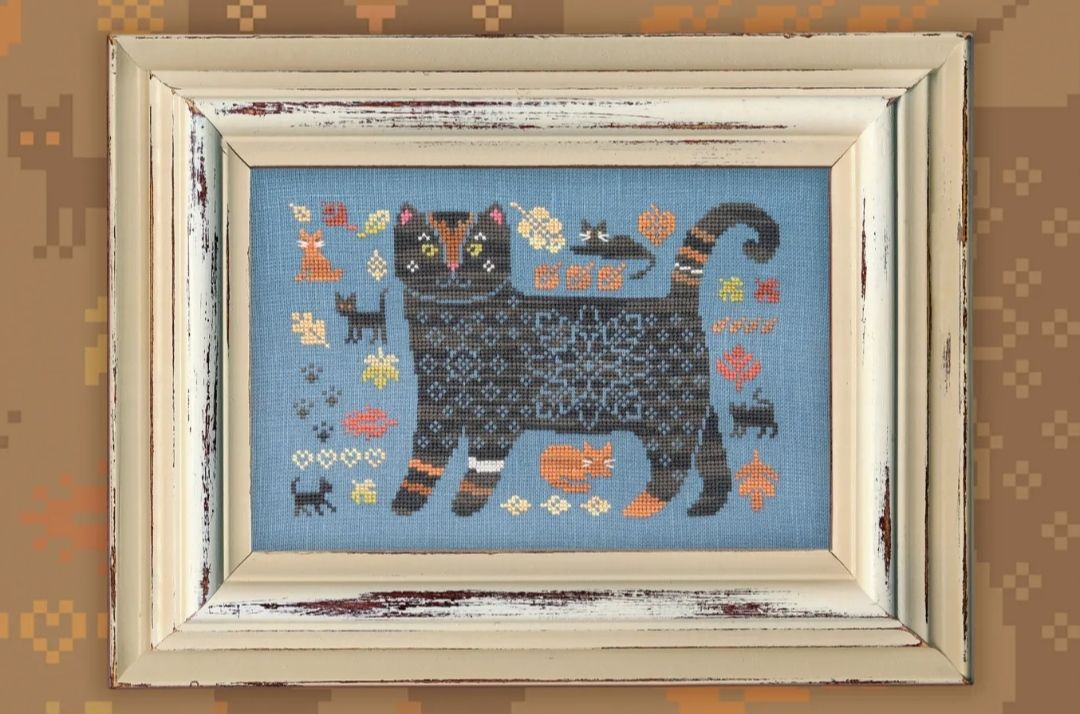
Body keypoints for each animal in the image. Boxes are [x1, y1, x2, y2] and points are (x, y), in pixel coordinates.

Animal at [389, 201, 778, 518]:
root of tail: (676, 300)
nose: (453, 268)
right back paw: (704, 506)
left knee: (673, 470)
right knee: (711, 456)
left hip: (668, 418)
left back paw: (638, 508)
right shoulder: (435, 408)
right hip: (694, 408)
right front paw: (406, 501)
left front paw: (464, 505)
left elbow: (481, 468)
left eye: (475, 246)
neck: (453, 325)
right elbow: (424, 460)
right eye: (427, 247)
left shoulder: (497, 414)